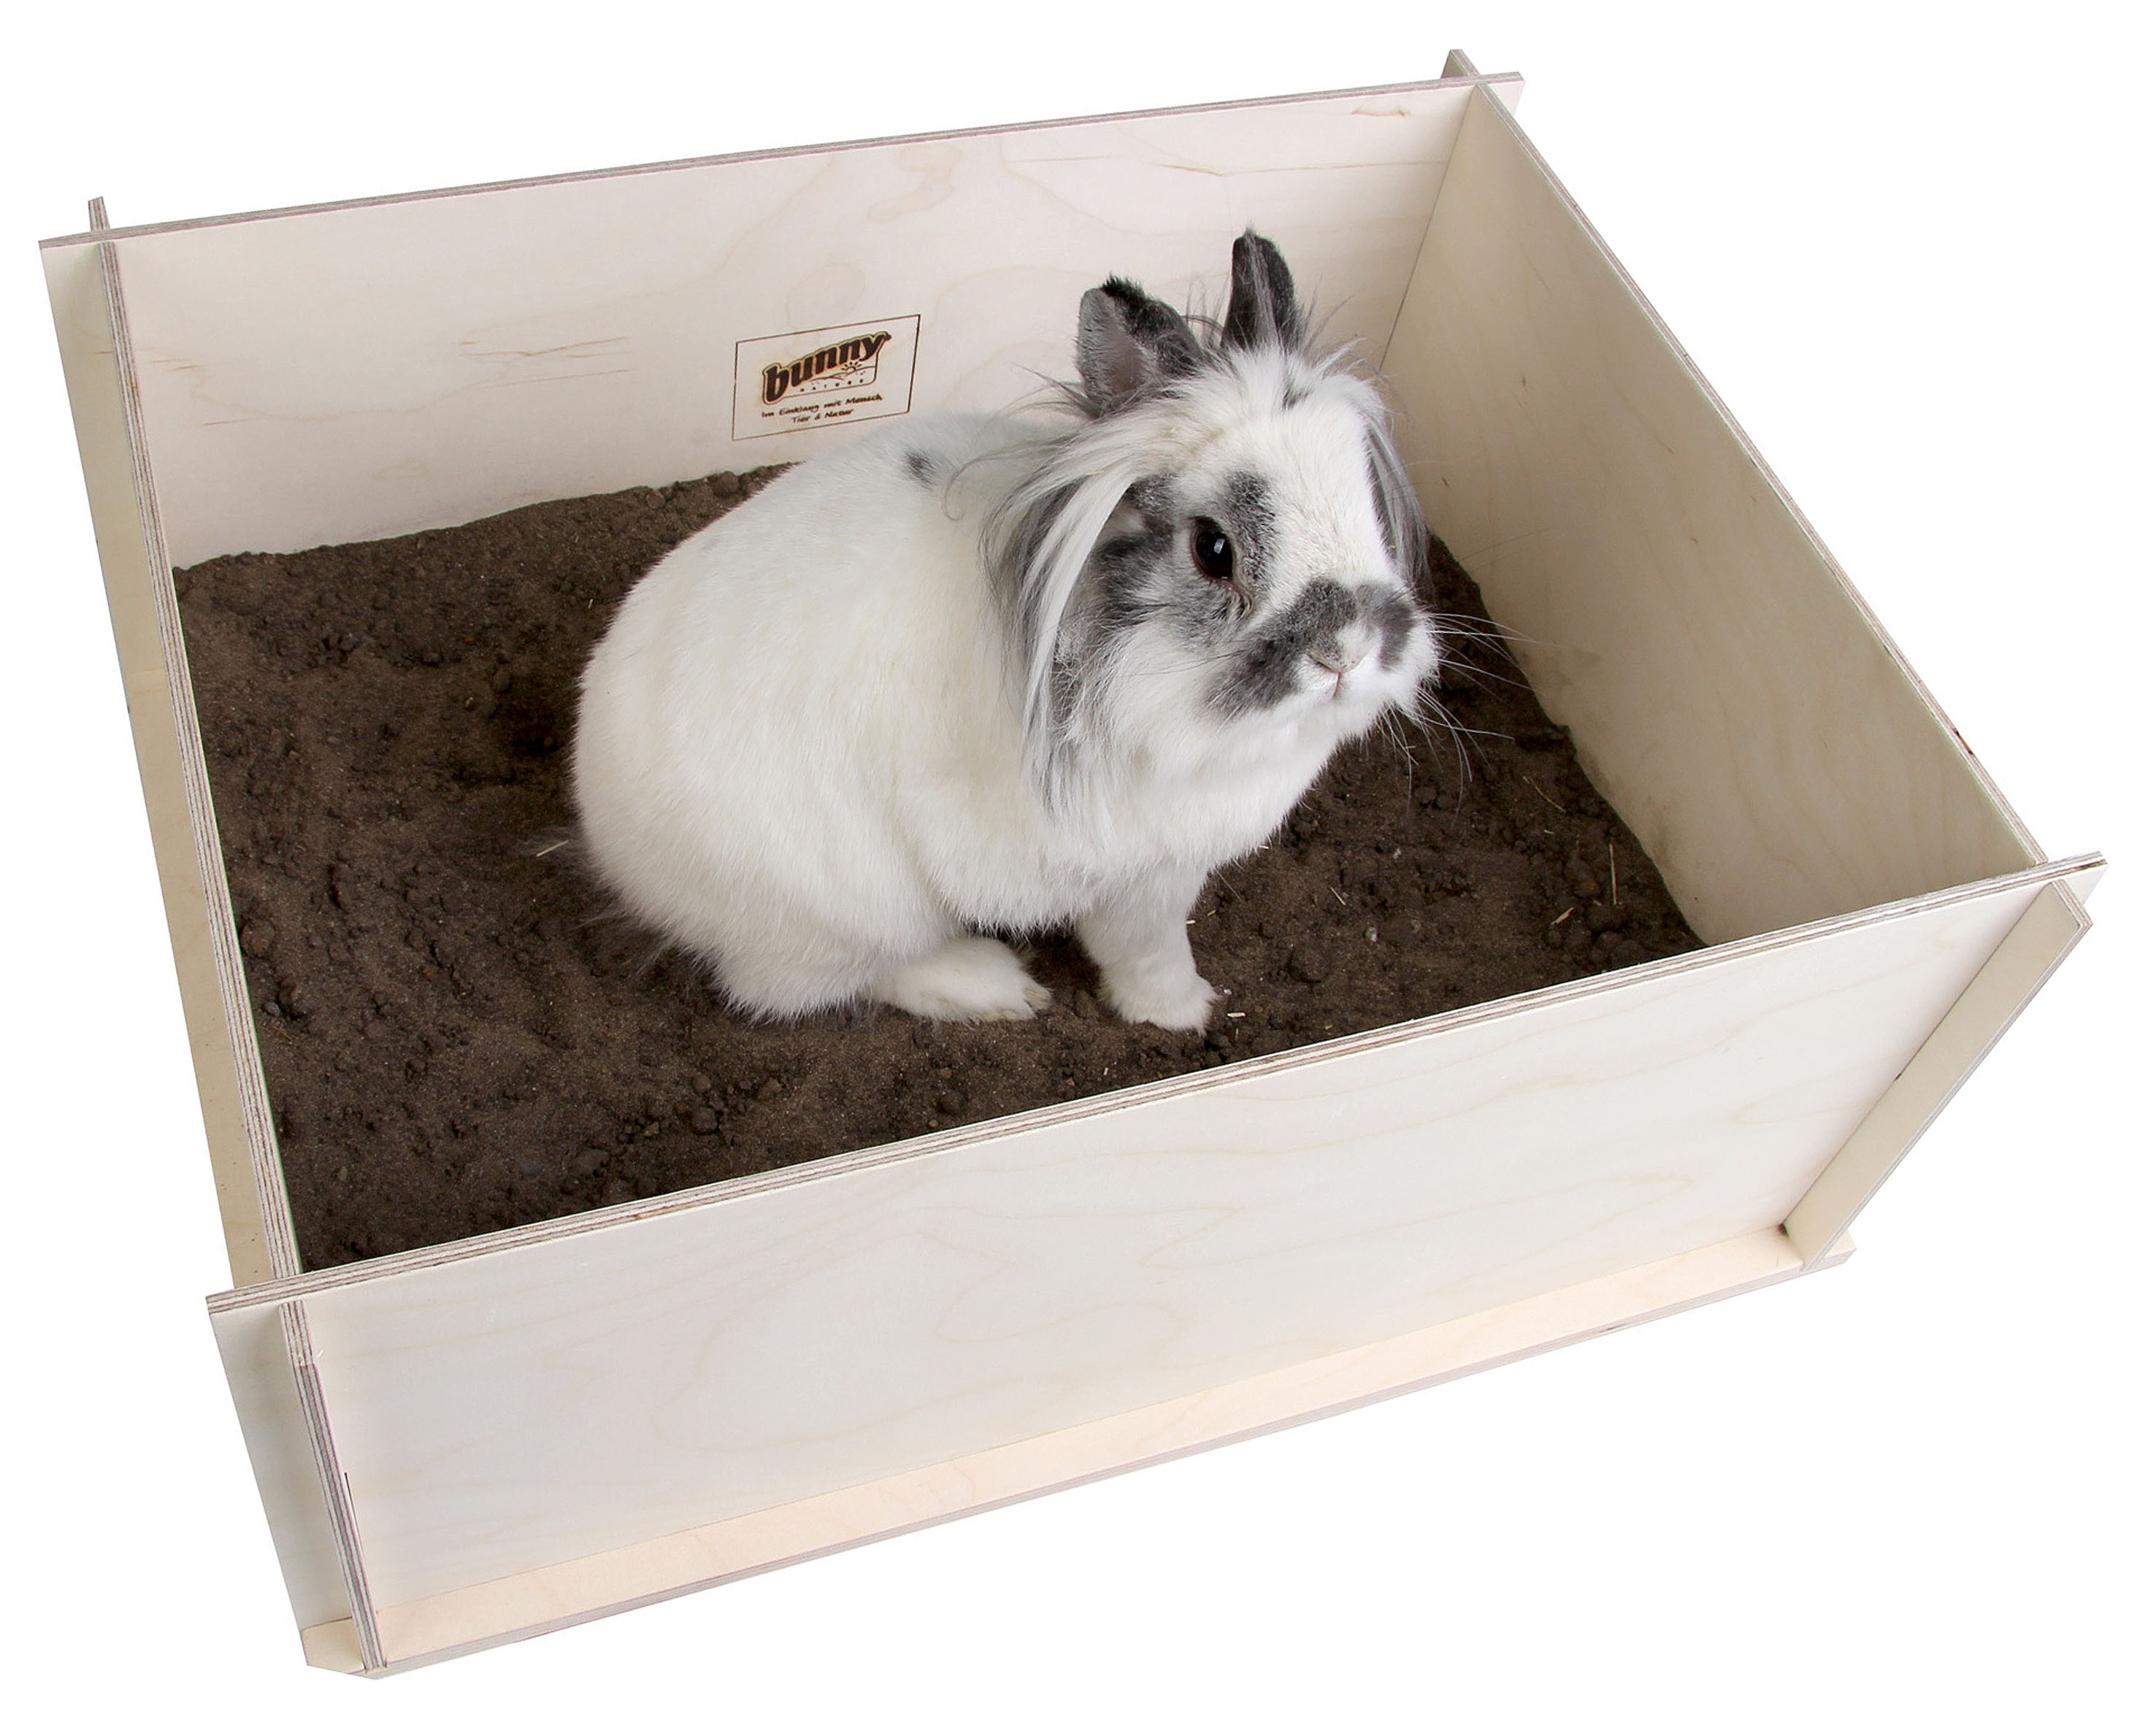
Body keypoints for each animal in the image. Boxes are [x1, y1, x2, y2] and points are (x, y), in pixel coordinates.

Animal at [571, 231, 1440, 1031]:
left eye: (1365, 499)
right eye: (1213, 548)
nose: (1347, 650)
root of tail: (605, 830)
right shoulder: (1143, 880)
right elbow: (1148, 951)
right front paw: (1183, 1011)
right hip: (847, 914)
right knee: (810, 984)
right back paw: (995, 986)